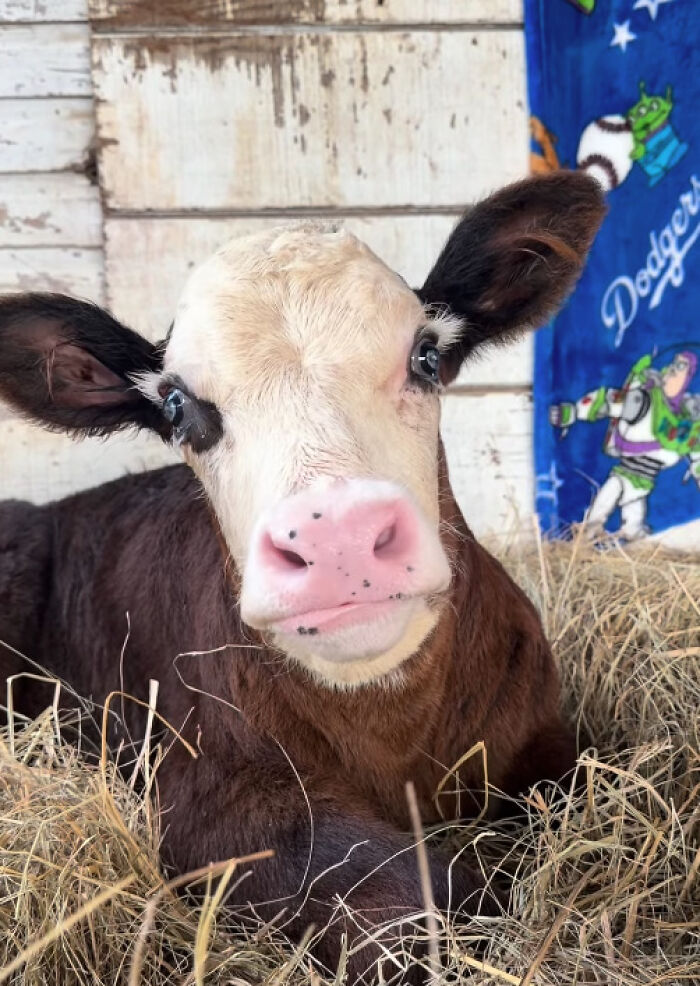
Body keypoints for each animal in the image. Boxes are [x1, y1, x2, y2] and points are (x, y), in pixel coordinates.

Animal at [0, 173, 604, 983]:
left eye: (425, 356)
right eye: (177, 405)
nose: (335, 534)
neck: (391, 738)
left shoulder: (545, 737)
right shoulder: (204, 802)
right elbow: (409, 888)